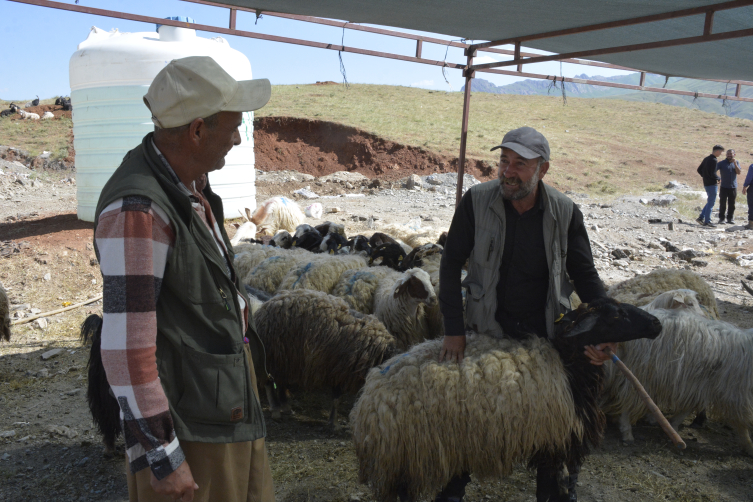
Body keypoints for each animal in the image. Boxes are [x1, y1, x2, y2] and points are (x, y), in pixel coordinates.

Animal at [256, 288, 396, 426]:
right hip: (272, 355)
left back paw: (286, 407)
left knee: (281, 382)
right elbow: (336, 398)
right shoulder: (339, 371)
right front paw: (334, 423)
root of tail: (264, 308)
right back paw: (275, 410)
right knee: (269, 382)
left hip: (285, 359)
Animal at [350, 298, 660, 502]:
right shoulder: (556, 439)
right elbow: (551, 489)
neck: (568, 365)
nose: (656, 324)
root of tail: (368, 403)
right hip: (408, 456)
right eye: (618, 314)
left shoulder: (551, 438)